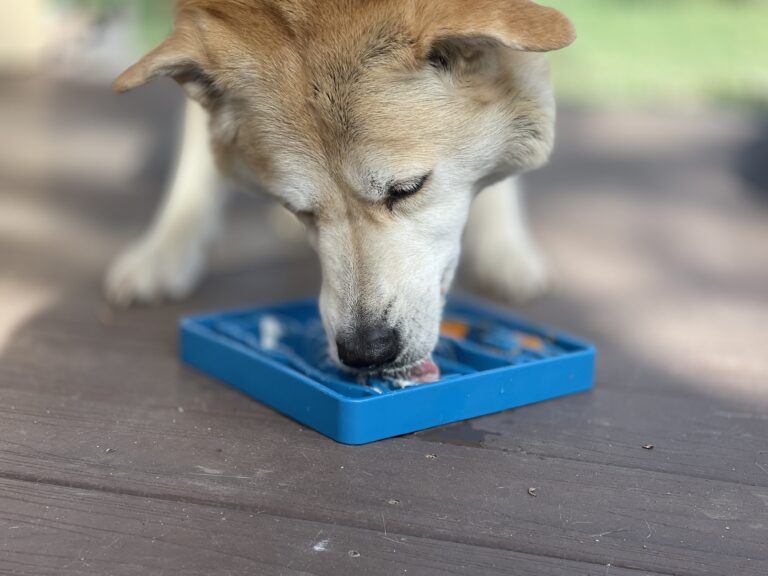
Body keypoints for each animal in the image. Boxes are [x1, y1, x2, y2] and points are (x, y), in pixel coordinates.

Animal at [105, 0, 572, 384]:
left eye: (408, 189)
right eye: (298, 208)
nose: (367, 352)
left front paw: (505, 247)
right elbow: (200, 147)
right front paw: (165, 251)